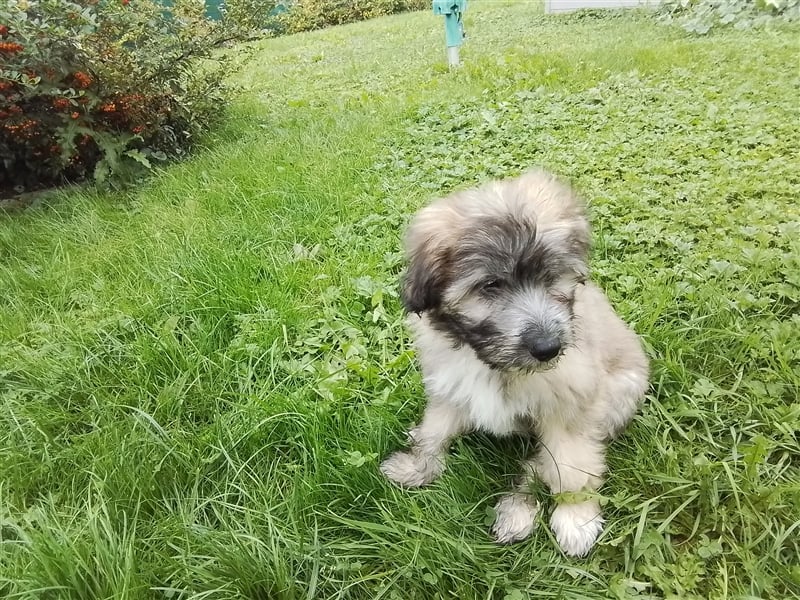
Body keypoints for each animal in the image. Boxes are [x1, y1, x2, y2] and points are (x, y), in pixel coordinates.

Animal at [378, 169, 648, 556]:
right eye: (491, 285)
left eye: (551, 277)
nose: (548, 348)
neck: (493, 361)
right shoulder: (450, 386)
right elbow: (435, 432)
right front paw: (417, 466)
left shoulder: (569, 406)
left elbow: (571, 465)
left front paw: (576, 516)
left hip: (619, 394)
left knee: (540, 463)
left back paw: (518, 511)